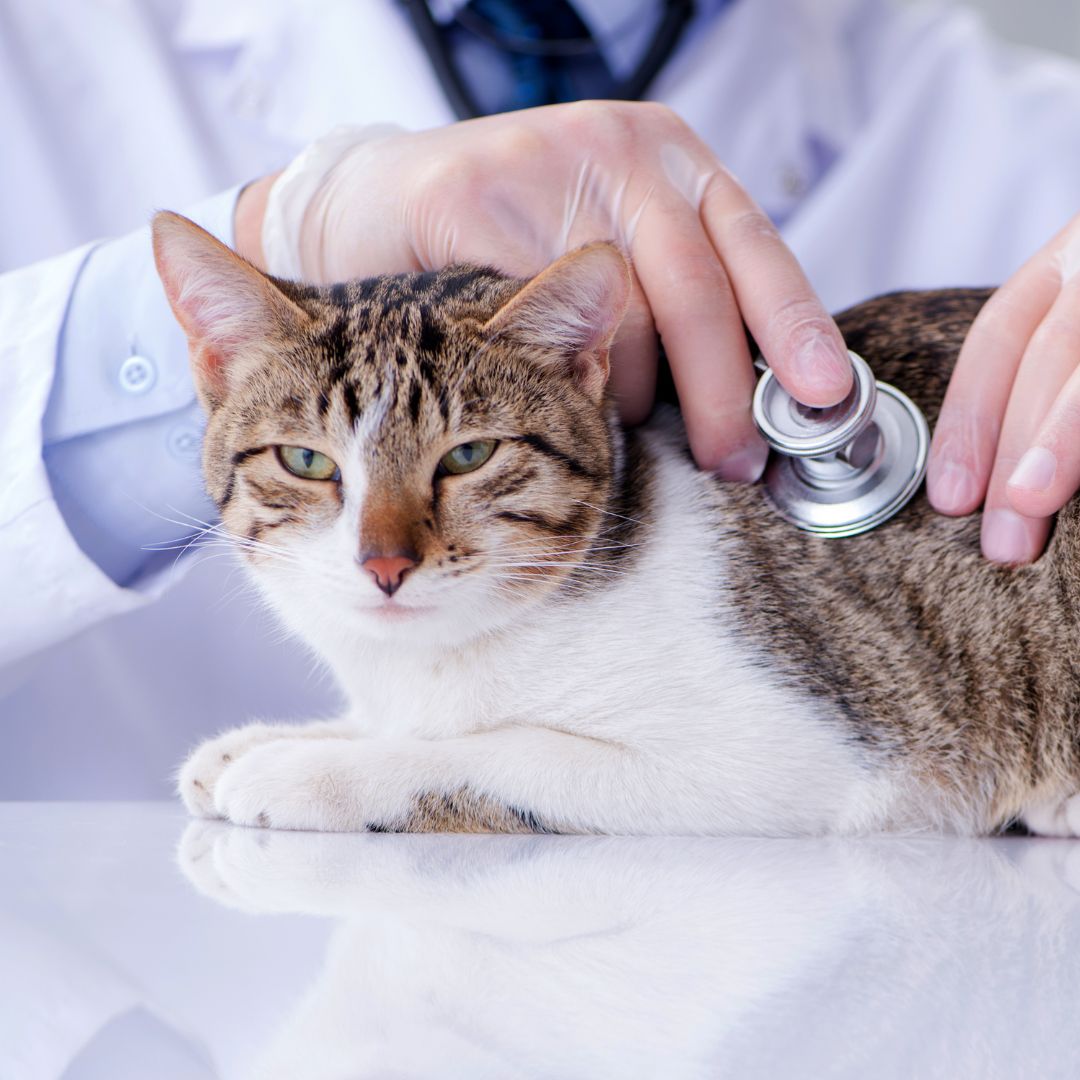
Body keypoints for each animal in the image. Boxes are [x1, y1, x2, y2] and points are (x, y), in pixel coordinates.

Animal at [150, 208, 1080, 833]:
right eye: (307, 462)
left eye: (468, 456)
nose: (384, 565)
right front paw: (284, 739)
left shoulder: (794, 757)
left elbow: (494, 752)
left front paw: (313, 768)